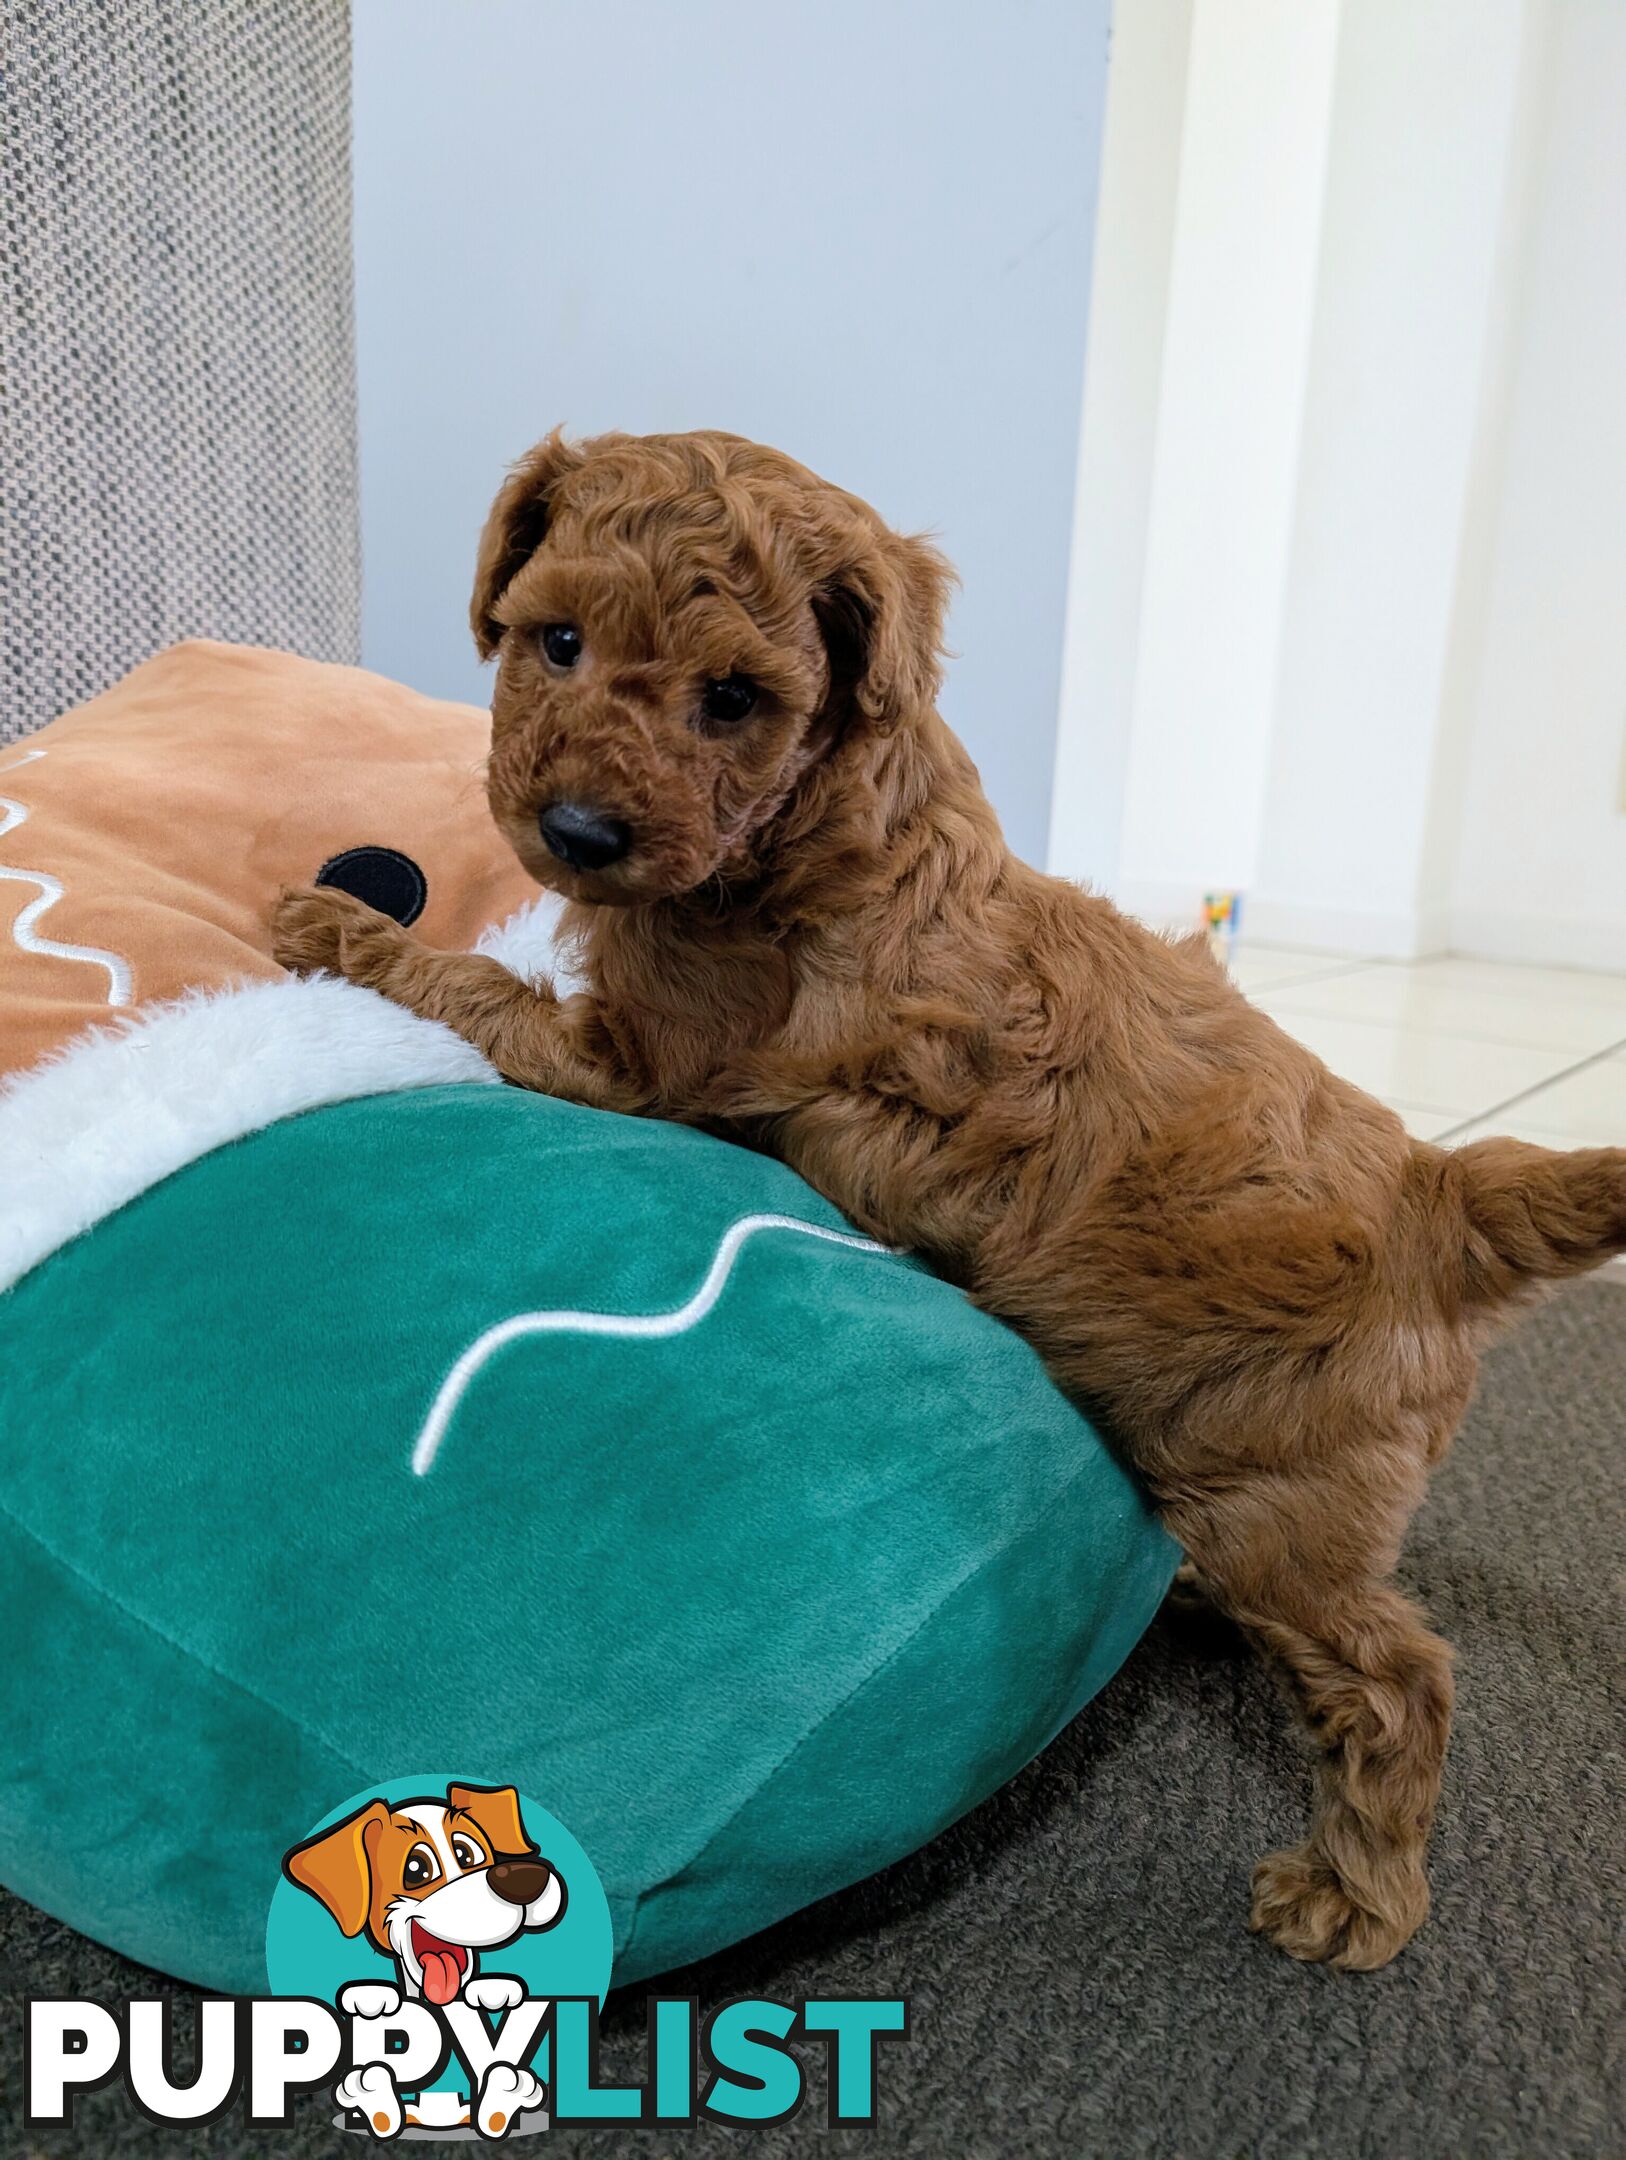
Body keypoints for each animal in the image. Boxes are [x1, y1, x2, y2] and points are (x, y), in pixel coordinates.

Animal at [278, 429, 1623, 1969]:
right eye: (554, 641)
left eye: (732, 700)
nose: (577, 830)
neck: (812, 815)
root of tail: (1439, 1188)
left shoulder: (646, 1059)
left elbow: (483, 990)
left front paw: (341, 926)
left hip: (1276, 1479)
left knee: (1398, 1672)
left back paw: (1356, 1892)